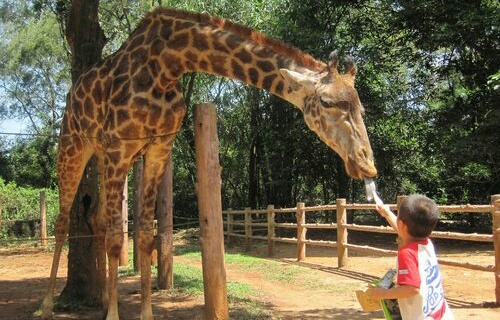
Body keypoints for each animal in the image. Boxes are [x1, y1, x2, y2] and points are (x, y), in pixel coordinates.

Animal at [41, 6, 376, 320]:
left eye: (361, 107)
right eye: (328, 103)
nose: (367, 165)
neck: (167, 63)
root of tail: (72, 94)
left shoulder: (159, 146)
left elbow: (145, 235)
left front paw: (145, 312)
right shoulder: (119, 145)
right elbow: (115, 237)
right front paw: (113, 315)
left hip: (102, 156)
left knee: (96, 217)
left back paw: (97, 300)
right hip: (75, 145)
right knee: (63, 222)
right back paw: (47, 306)